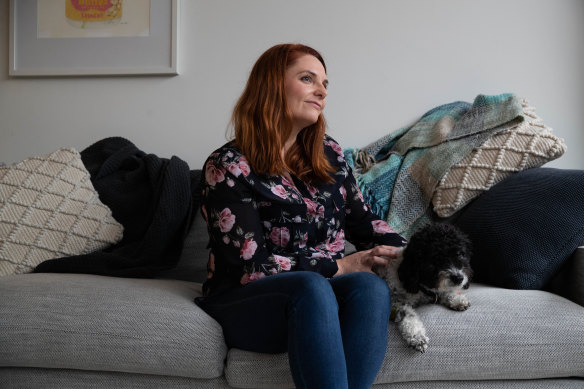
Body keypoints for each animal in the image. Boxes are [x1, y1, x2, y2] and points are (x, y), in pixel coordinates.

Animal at [376, 221, 472, 352]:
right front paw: (417, 337)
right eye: (436, 257)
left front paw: (457, 300)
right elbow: (409, 316)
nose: (458, 278)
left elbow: (444, 292)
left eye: (460, 254)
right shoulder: (396, 302)